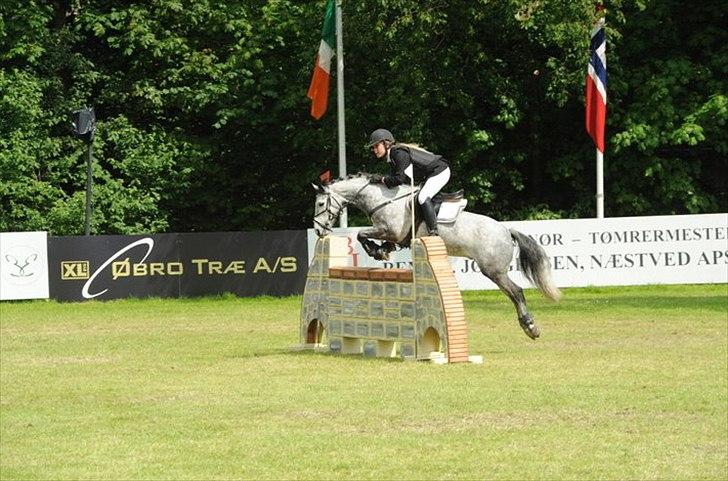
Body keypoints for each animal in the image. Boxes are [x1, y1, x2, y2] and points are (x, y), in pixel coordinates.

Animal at [312, 172, 564, 338]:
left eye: (321, 203)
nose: (318, 230)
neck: (381, 198)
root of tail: (505, 229)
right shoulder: (393, 235)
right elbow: (369, 237)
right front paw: (382, 251)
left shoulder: (391, 230)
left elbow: (360, 234)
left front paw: (376, 251)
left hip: (493, 270)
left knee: (516, 292)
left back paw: (530, 327)